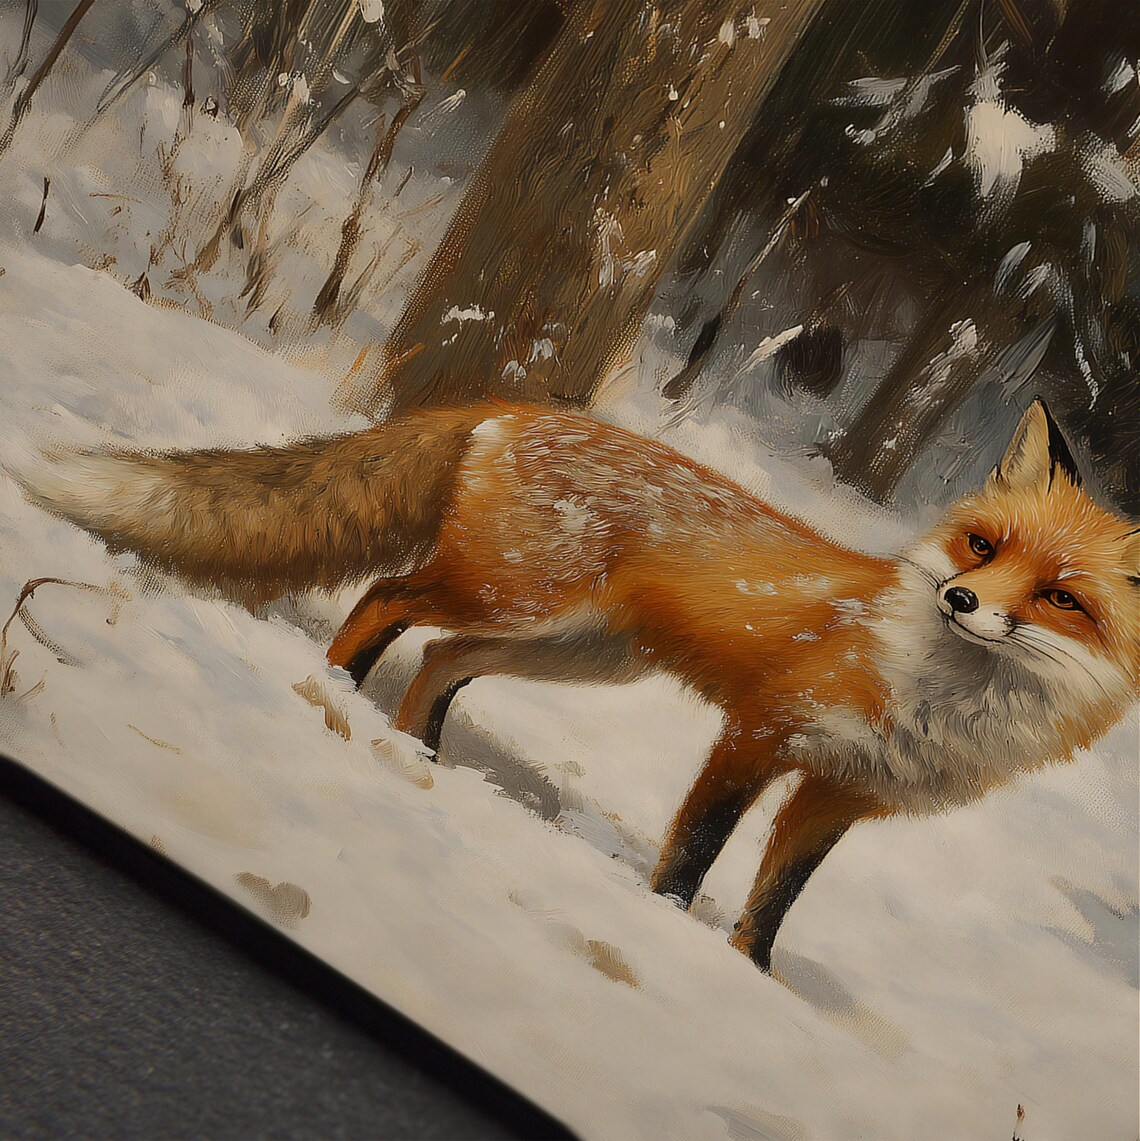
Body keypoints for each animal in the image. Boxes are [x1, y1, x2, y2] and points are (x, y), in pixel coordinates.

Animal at [17, 397, 1139, 970]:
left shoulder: (840, 794)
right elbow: (693, 854)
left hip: (574, 649)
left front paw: (744, 976)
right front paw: (664, 928)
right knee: (386, 597)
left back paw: (411, 751)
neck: (939, 696)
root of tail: (515, 403)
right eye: (983, 545)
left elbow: (772, 905)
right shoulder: (761, 730)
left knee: (440, 658)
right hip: (516, 600)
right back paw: (330, 688)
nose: (959, 597)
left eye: (1060, 597)